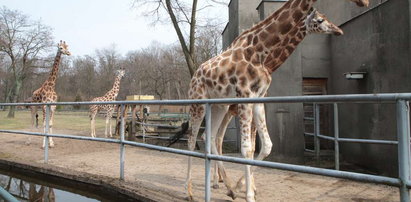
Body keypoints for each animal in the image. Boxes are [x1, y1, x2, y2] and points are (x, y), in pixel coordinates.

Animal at [187, 0, 370, 200]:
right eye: (320, 20)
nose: (338, 31)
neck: (259, 51)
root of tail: (195, 76)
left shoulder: (258, 99)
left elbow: (266, 146)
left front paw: (244, 187)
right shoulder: (245, 96)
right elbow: (247, 147)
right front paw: (249, 193)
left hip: (219, 106)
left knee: (210, 136)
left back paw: (225, 186)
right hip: (198, 104)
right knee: (192, 139)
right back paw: (191, 192)